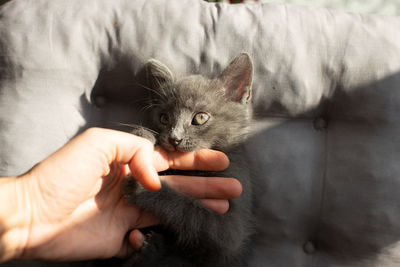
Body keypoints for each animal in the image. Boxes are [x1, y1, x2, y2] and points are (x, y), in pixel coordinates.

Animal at [122, 53, 253, 266]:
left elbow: (192, 212)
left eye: (200, 117)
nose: (174, 138)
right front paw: (142, 137)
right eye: (164, 118)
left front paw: (143, 187)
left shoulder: (230, 231)